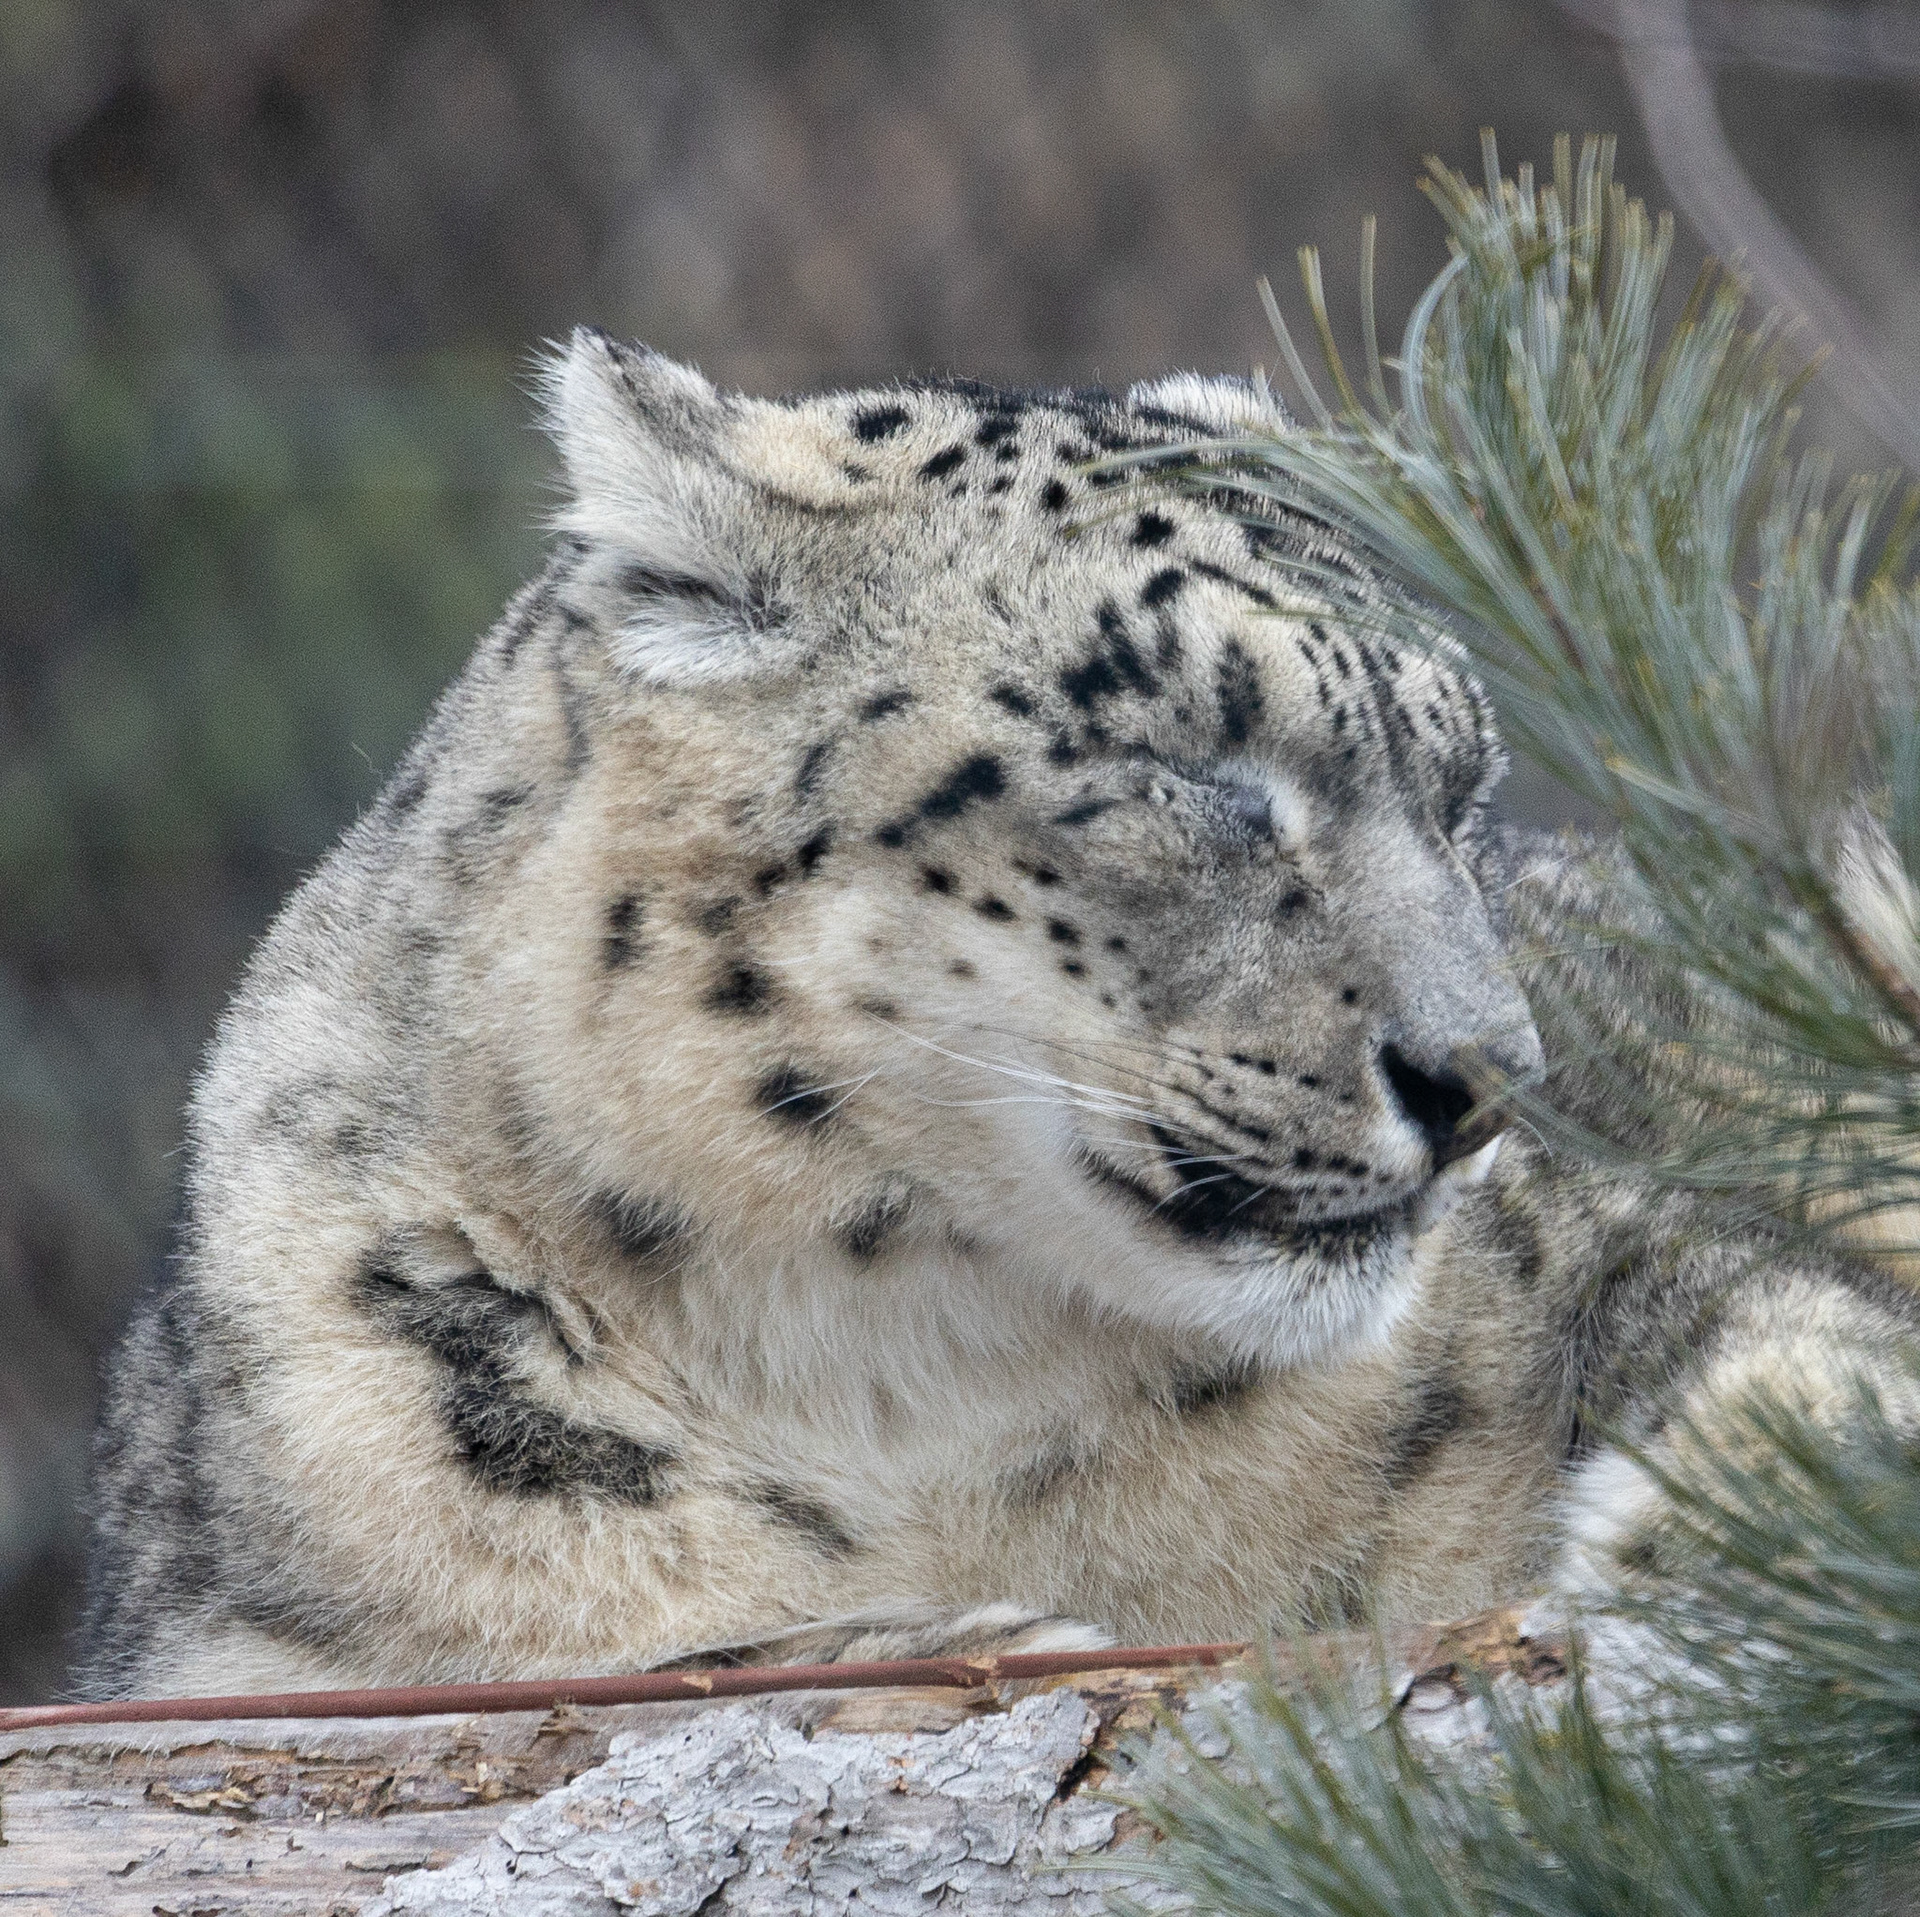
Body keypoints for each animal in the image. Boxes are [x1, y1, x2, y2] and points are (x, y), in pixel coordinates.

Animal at [72, 330, 1920, 1698]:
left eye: (1461, 794)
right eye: (1195, 768)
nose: (1485, 1079)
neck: (915, 1391)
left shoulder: (1636, 1239)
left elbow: (1791, 1310)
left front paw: (1758, 1523)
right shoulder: (235, 1644)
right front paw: (946, 1625)